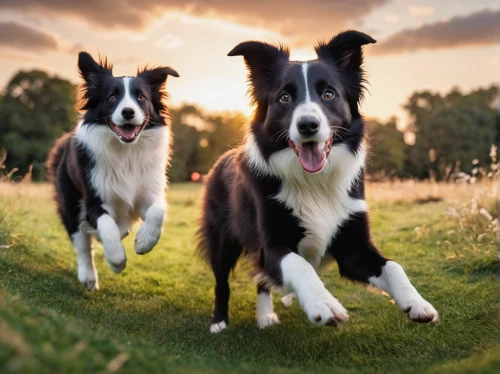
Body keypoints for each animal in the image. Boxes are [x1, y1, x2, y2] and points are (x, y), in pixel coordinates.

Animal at [47, 52, 179, 290]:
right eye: (111, 98)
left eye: (141, 97)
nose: (128, 112)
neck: (126, 152)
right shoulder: (94, 201)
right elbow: (107, 226)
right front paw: (116, 260)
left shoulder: (146, 193)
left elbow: (158, 210)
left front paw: (144, 241)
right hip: (70, 202)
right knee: (82, 242)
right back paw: (88, 277)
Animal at [199, 30, 438, 332]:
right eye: (284, 97)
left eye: (328, 94)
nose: (308, 125)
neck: (314, 181)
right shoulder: (271, 245)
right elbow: (298, 264)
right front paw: (323, 305)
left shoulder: (353, 246)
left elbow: (394, 266)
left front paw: (417, 303)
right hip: (222, 240)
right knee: (222, 281)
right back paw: (219, 322)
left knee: (261, 281)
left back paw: (265, 316)